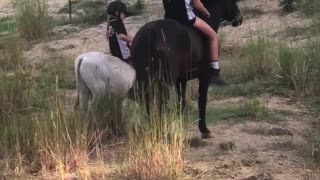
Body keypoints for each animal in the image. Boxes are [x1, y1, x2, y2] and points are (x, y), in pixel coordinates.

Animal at [130, 0, 242, 138]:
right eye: (234, 1)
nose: (240, 18)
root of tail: (150, 33)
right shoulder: (204, 77)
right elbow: (202, 101)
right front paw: (204, 129)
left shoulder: (181, 80)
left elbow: (181, 103)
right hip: (164, 83)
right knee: (160, 105)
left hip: (145, 82)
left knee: (147, 105)